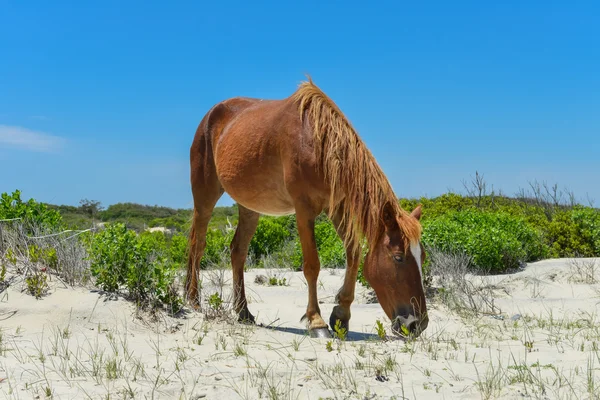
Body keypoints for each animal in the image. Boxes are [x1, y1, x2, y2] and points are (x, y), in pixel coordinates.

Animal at [185, 76, 428, 338]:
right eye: (398, 257)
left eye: (422, 256)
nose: (418, 324)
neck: (319, 144)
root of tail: (211, 115)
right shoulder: (304, 210)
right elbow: (312, 265)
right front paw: (316, 321)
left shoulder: (337, 208)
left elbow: (353, 254)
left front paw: (341, 315)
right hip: (205, 196)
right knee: (198, 244)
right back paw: (193, 300)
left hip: (249, 206)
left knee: (237, 251)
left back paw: (243, 312)